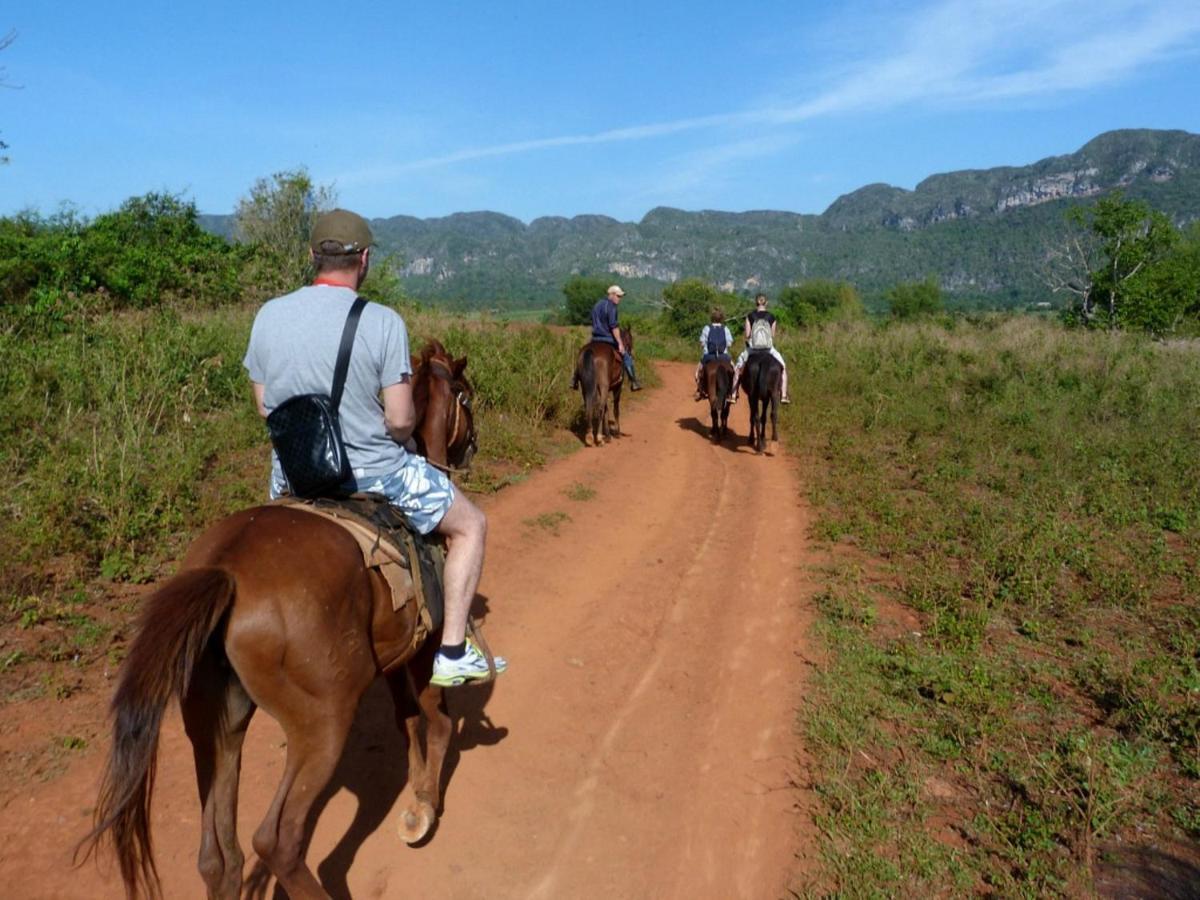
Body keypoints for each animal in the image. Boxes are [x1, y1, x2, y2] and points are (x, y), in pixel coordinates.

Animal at [78, 352, 472, 900]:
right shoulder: (425, 644)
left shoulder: (397, 651)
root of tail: (227, 571)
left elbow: (407, 719)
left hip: (214, 725)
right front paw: (426, 806)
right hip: (321, 722)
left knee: (218, 857)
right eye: (464, 394)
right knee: (277, 840)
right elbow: (434, 719)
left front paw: (416, 796)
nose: (471, 447)